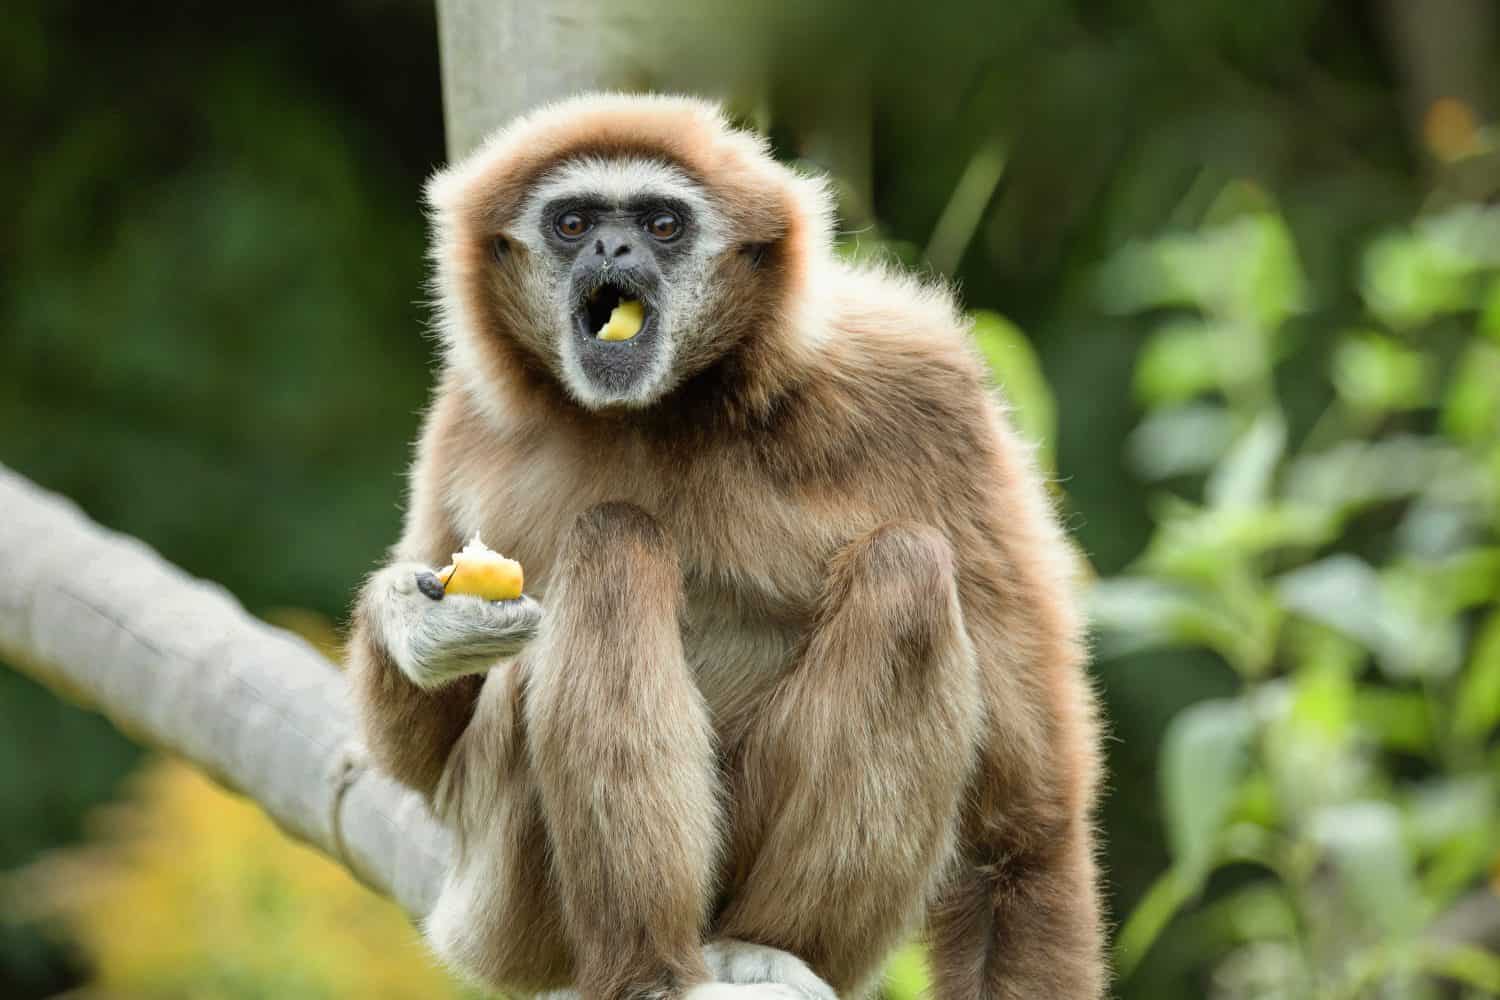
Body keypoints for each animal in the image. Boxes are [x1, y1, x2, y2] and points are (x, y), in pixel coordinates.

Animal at [347, 93, 1105, 1000]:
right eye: (573, 223)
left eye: (662, 224)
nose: (612, 250)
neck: (662, 411)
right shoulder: (463, 413)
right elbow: (424, 766)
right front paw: (417, 622)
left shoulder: (928, 387)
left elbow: (1025, 825)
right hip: (501, 914)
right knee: (615, 540)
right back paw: (647, 967)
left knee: (907, 574)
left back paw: (764, 947)